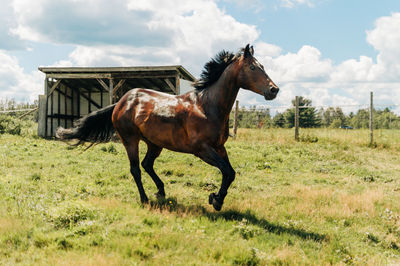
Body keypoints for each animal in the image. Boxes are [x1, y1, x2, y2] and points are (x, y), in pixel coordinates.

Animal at [57, 45, 278, 212]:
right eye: (252, 67)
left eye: (262, 66)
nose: (274, 90)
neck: (207, 106)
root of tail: (120, 102)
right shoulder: (202, 149)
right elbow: (226, 171)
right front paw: (216, 200)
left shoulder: (219, 147)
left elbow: (230, 173)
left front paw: (215, 198)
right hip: (130, 140)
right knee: (136, 169)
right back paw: (145, 199)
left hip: (155, 143)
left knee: (147, 164)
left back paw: (161, 192)